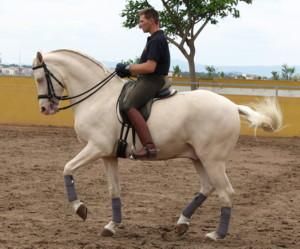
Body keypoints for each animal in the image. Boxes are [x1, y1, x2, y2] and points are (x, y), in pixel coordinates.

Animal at [31, 49, 282, 241]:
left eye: (40, 78)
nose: (44, 109)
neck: (98, 98)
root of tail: (231, 105)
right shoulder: (108, 155)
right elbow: (114, 190)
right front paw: (112, 226)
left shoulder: (96, 148)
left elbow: (67, 169)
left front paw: (80, 209)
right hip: (198, 157)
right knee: (207, 187)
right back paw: (181, 224)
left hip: (213, 160)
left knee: (225, 192)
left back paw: (216, 235)